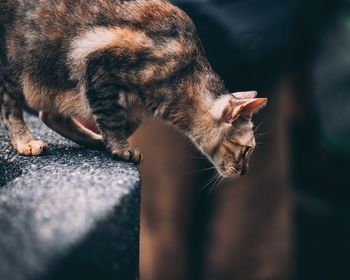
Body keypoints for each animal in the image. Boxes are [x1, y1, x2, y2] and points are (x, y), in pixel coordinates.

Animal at [0, 0, 266, 177]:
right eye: (247, 151)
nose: (244, 171)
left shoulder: (134, 107)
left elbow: (124, 123)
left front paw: (105, 142)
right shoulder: (97, 65)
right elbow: (111, 118)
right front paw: (120, 148)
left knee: (48, 114)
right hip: (14, 68)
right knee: (10, 108)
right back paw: (26, 141)